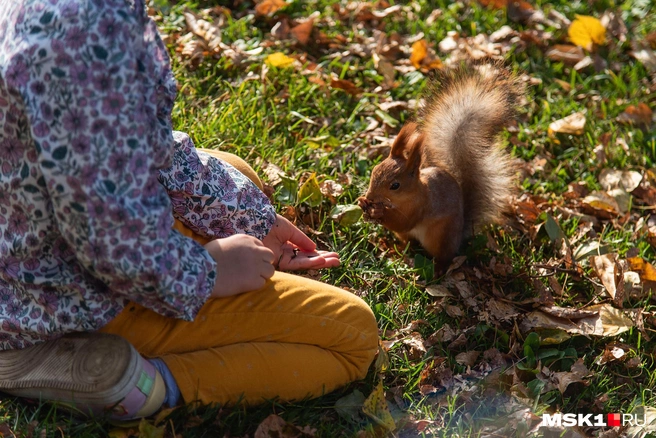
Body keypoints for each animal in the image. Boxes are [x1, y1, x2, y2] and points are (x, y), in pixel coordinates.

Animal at [356, 62, 524, 266]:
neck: (413, 194)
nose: (370, 196)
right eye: (374, 170)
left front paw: (377, 211)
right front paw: (362, 202)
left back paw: (437, 266)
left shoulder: (422, 207)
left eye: (395, 186)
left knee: (443, 257)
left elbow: (402, 222)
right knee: (408, 243)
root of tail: (459, 237)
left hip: (439, 236)